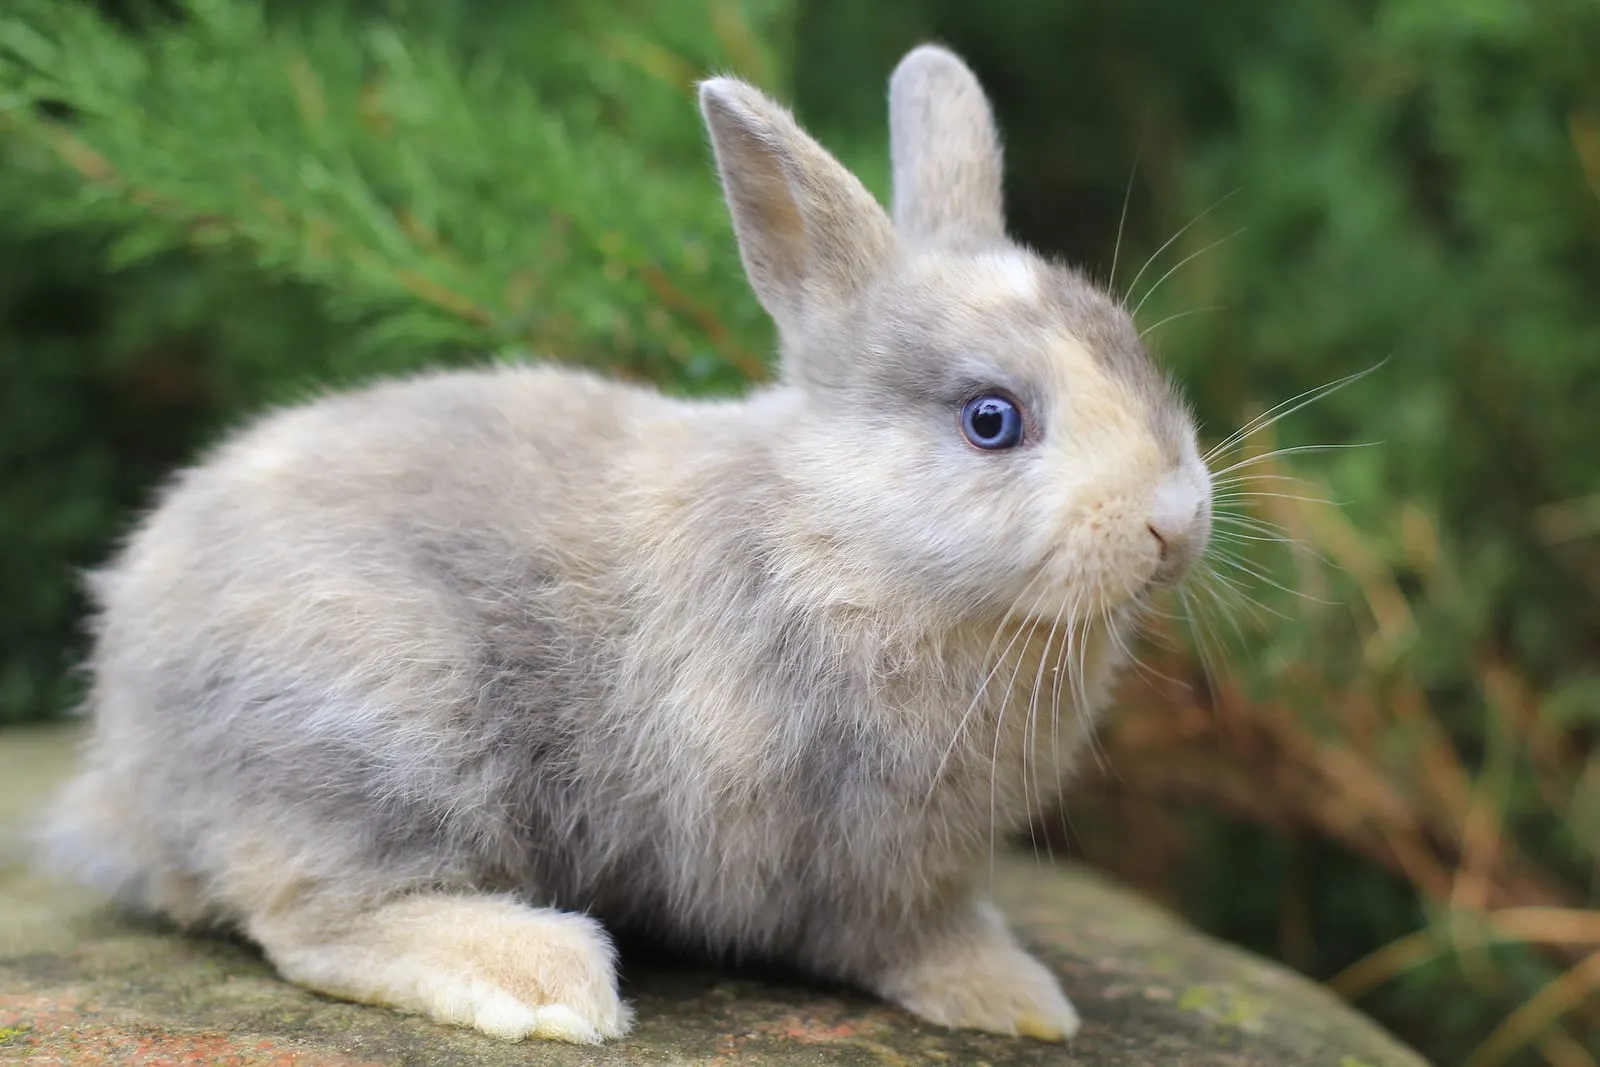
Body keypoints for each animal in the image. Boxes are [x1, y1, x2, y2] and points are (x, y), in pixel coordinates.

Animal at [38, 44, 1213, 1045]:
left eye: (1133, 348)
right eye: (990, 419)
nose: (1175, 517)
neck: (842, 542)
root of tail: (126, 756)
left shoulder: (913, 879)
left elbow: (924, 940)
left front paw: (1018, 1001)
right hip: (380, 723)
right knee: (310, 914)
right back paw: (546, 979)